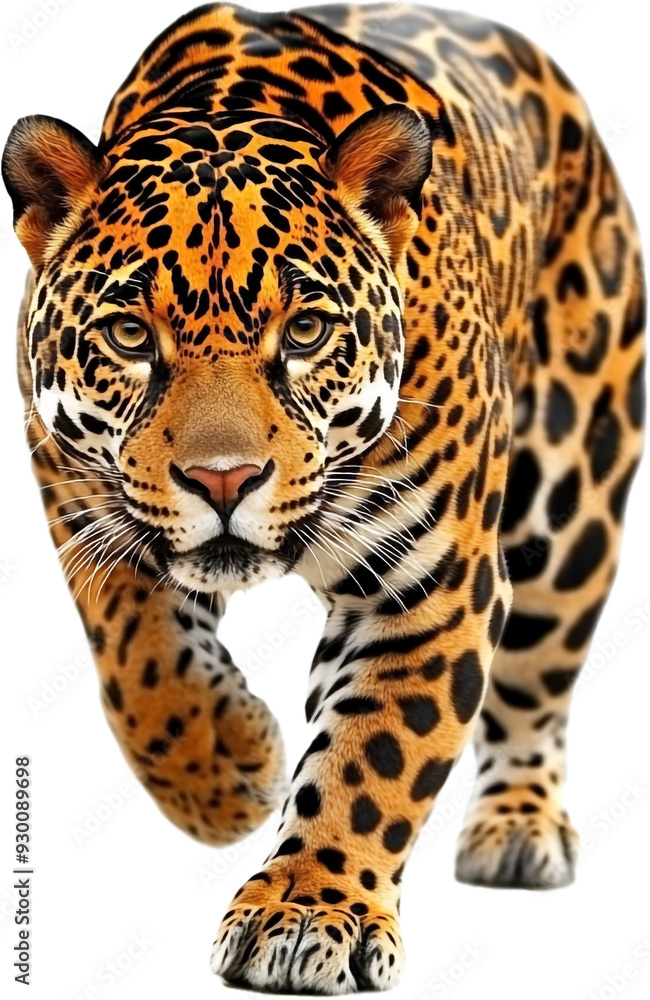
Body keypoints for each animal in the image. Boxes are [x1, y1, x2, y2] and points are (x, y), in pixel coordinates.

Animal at [2, 3, 645, 994]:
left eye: (305, 332)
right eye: (129, 337)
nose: (223, 479)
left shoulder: (429, 585)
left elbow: (373, 755)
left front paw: (306, 912)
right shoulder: (77, 495)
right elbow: (139, 655)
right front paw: (222, 770)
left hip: (575, 511)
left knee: (537, 685)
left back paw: (517, 829)